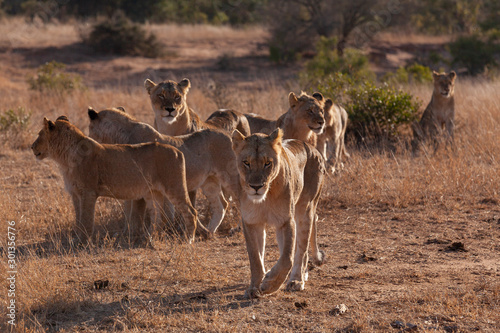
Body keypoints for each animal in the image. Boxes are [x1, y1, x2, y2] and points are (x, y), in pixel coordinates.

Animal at [31, 115, 207, 243]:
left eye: (39, 135)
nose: (32, 147)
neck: (65, 159)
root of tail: (178, 151)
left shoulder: (88, 192)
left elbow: (86, 219)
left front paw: (83, 241)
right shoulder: (75, 194)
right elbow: (78, 219)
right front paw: (76, 238)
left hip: (174, 187)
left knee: (191, 211)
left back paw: (188, 240)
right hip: (153, 192)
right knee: (158, 215)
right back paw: (150, 239)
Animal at [232, 127, 326, 298]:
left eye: (267, 163)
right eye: (246, 163)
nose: (256, 187)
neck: (265, 197)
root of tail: (312, 148)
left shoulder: (286, 220)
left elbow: (287, 258)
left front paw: (270, 284)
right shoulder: (251, 222)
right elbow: (255, 258)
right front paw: (254, 288)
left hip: (305, 210)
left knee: (301, 250)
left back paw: (296, 279)